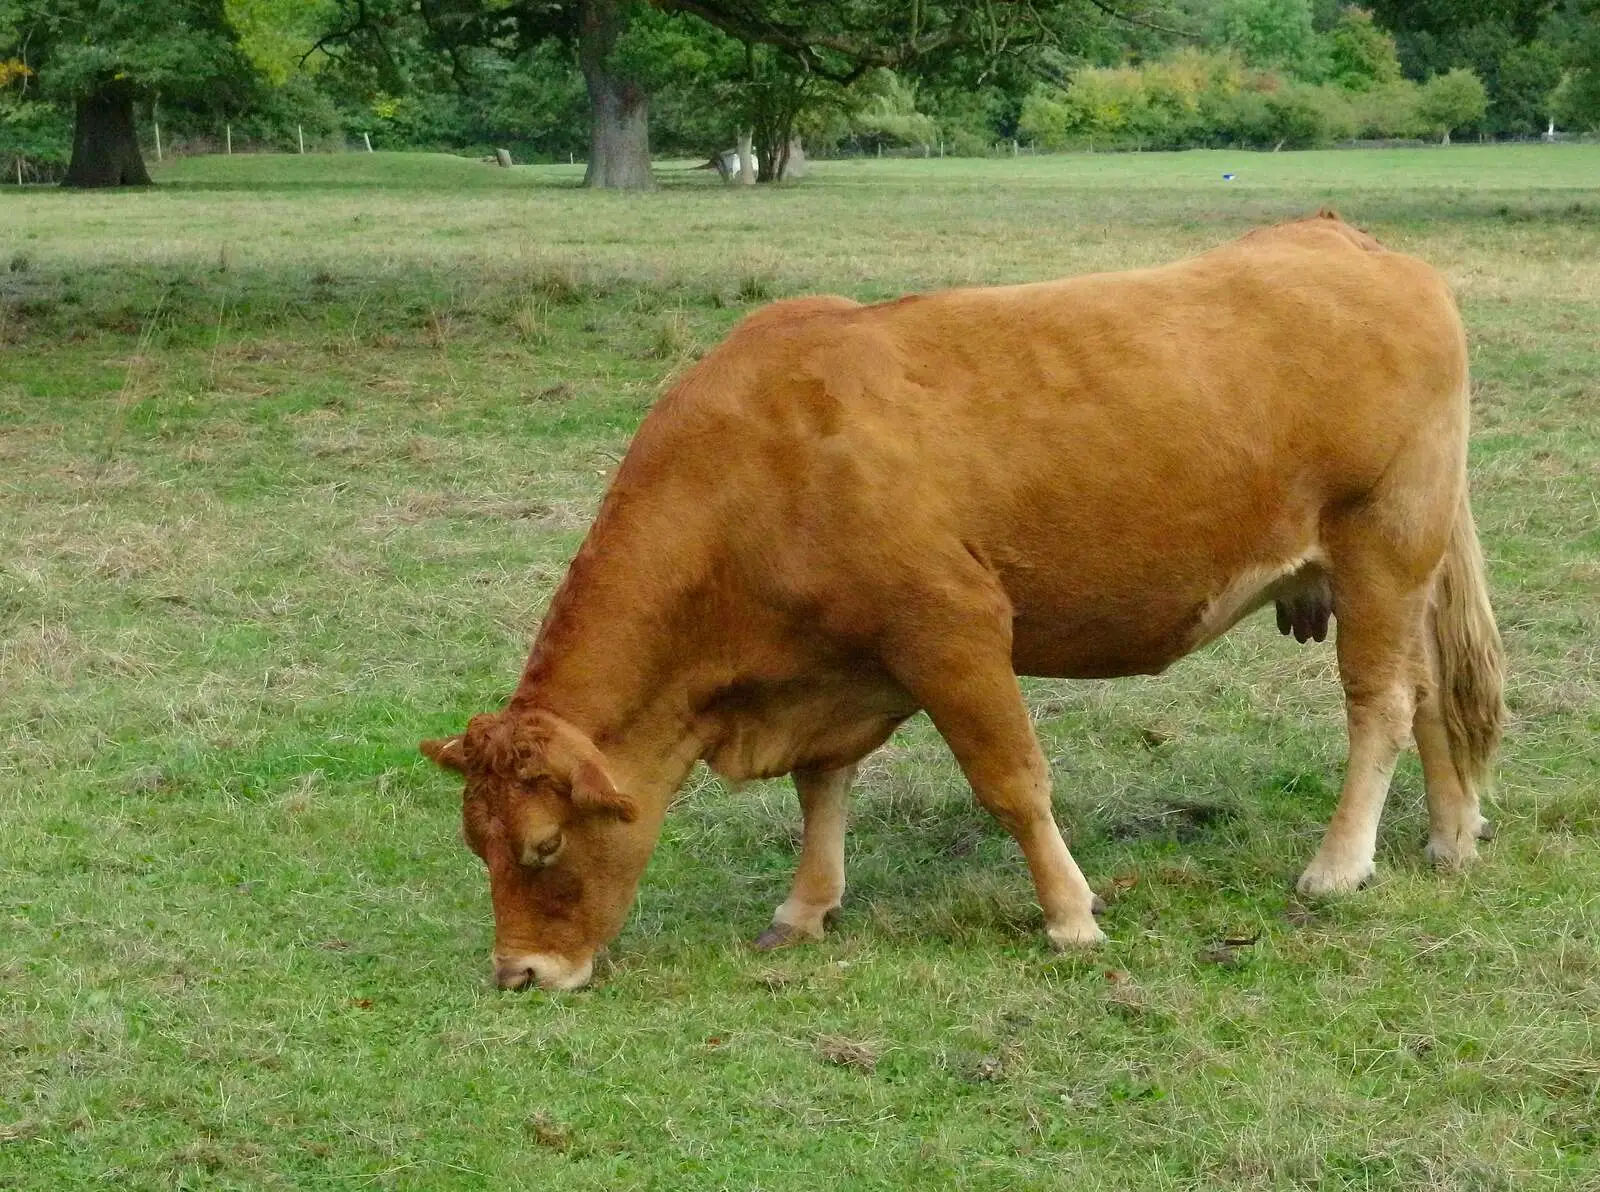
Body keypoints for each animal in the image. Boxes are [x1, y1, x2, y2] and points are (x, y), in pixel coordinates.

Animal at [422, 211, 1497, 985]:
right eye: (475, 845)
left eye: (543, 845)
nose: (518, 973)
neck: (755, 474)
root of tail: (1348, 241)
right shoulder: (834, 665)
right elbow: (822, 785)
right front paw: (804, 908)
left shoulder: (952, 630)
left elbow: (1012, 781)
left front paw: (1070, 915)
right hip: (1402, 571)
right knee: (1431, 696)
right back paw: (1450, 837)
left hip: (1380, 547)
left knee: (1381, 705)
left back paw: (1339, 865)